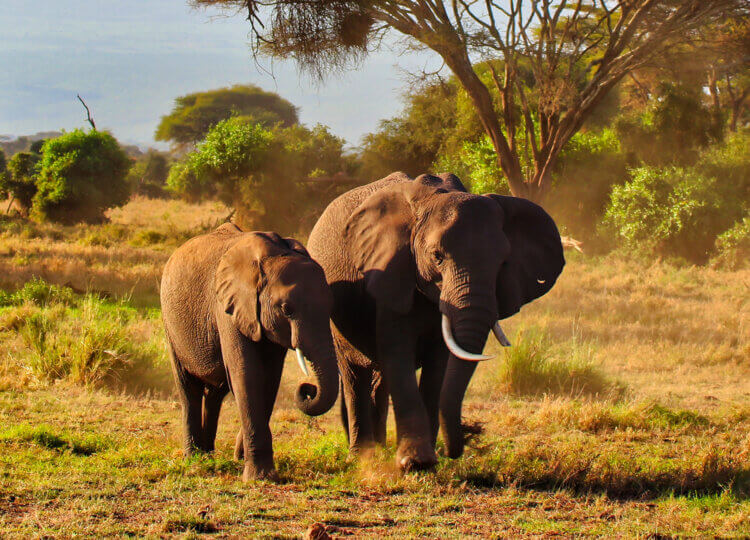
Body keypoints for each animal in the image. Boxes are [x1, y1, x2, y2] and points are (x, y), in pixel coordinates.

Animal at [161, 224, 338, 480]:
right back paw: (194, 459)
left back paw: (209, 455)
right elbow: (247, 374)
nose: (307, 389)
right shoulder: (227, 307)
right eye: (287, 309)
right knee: (188, 388)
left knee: (215, 393)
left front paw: (242, 458)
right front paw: (260, 477)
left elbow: (270, 380)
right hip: (171, 326)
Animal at [306, 172, 564, 468]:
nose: (467, 437)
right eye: (437, 257)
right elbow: (399, 354)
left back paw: (380, 449)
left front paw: (428, 460)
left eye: (503, 262)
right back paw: (362, 457)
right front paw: (415, 463)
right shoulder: (390, 272)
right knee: (353, 373)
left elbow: (438, 364)